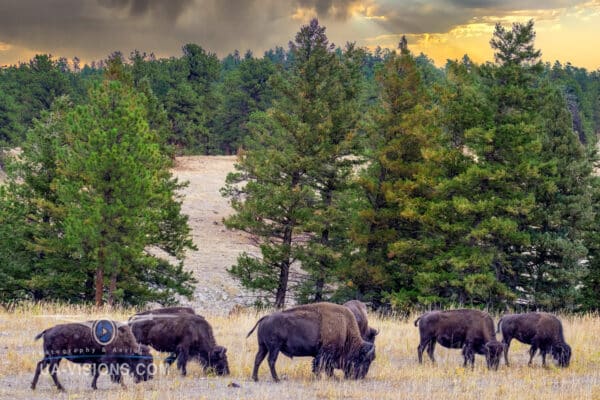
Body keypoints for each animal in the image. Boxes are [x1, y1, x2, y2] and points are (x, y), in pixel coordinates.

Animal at [245, 304, 376, 382]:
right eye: (365, 360)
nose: (360, 377)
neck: (345, 329)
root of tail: (266, 317)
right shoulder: (326, 353)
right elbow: (322, 366)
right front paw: (326, 377)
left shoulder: (324, 355)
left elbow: (324, 367)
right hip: (274, 348)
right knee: (271, 361)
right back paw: (277, 379)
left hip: (263, 347)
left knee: (258, 359)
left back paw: (255, 378)